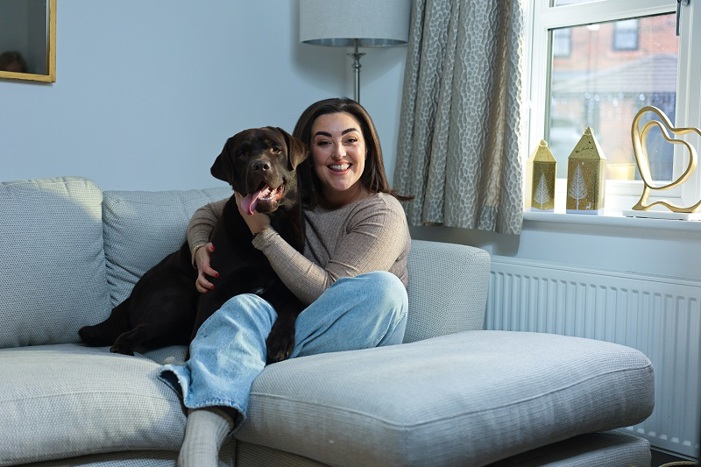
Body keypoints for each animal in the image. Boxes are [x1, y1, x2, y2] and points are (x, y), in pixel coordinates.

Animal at [78, 128, 306, 366]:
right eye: (242, 154)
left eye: (276, 149)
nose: (260, 166)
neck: (272, 223)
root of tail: (130, 296)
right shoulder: (214, 288)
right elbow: (201, 329)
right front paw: (192, 361)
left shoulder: (286, 288)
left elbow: (291, 307)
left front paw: (280, 343)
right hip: (180, 298)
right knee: (132, 333)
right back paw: (124, 349)